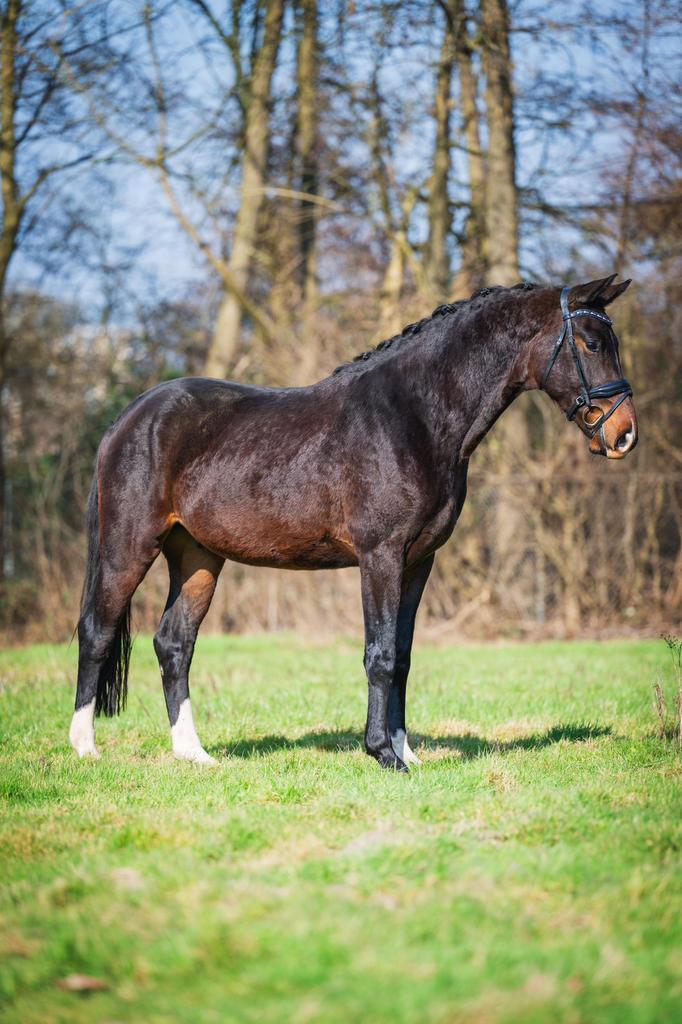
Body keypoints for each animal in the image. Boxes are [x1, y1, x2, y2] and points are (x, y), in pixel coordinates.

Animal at [70, 275, 638, 771]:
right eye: (590, 343)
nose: (625, 435)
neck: (414, 416)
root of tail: (127, 420)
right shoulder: (380, 555)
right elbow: (380, 653)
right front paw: (383, 754)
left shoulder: (419, 561)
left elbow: (403, 656)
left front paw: (407, 752)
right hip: (129, 545)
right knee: (97, 632)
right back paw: (84, 747)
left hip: (197, 556)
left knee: (174, 644)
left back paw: (193, 754)